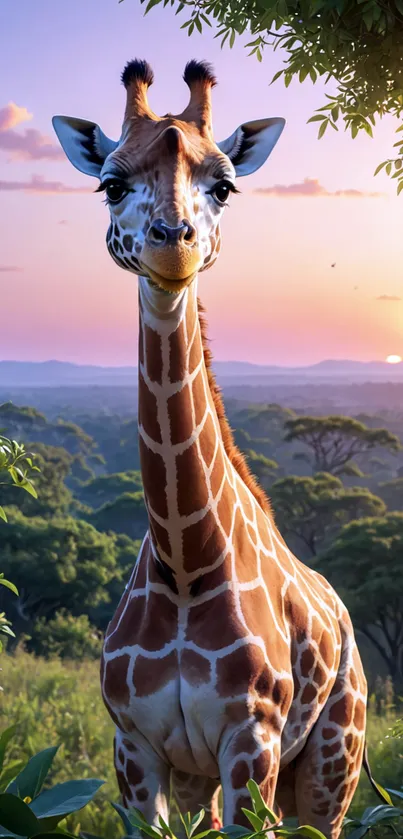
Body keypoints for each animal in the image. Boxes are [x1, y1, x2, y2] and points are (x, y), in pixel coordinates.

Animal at [54, 59, 372, 839]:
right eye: (110, 183)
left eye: (224, 185)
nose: (174, 242)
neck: (186, 560)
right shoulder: (135, 750)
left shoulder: (250, 742)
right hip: (208, 782)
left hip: (331, 766)